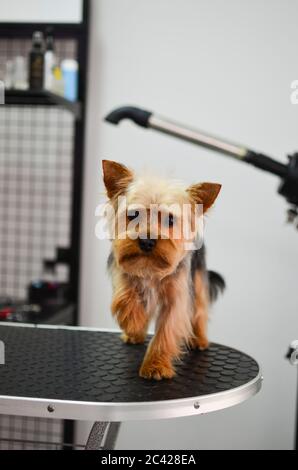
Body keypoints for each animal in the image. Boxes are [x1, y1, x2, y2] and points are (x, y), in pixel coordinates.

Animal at [103, 160, 226, 380]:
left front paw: (155, 366)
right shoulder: (124, 270)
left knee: (200, 309)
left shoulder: (177, 296)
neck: (150, 268)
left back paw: (200, 339)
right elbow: (125, 296)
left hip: (197, 278)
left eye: (170, 220)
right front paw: (133, 323)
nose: (147, 241)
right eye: (133, 215)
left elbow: (167, 328)